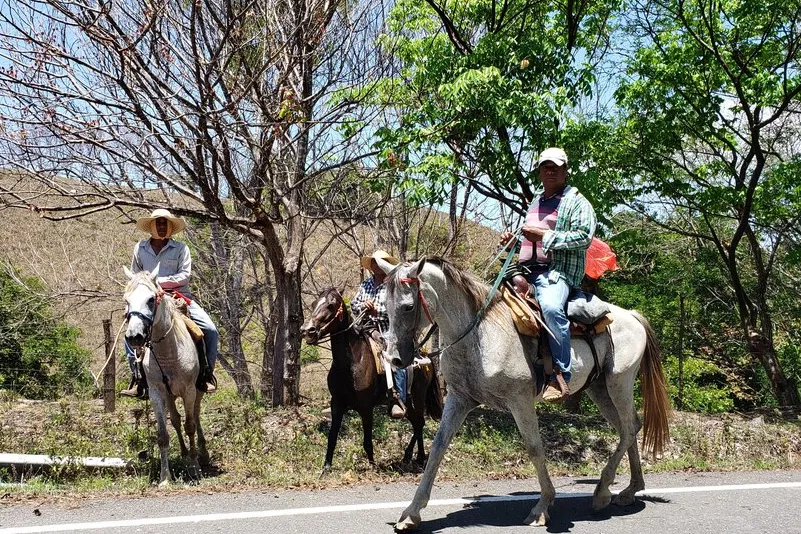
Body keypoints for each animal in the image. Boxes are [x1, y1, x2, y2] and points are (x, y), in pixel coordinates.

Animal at [123, 266, 209, 485]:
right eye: (126, 300)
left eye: (151, 299)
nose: (134, 336)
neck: (168, 351)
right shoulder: (156, 393)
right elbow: (163, 434)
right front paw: (164, 477)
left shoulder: (189, 391)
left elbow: (190, 426)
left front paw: (195, 469)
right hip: (170, 396)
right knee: (176, 421)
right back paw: (185, 454)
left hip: (198, 391)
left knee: (195, 416)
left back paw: (202, 454)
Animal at [300, 287, 444, 471]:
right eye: (313, 304)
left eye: (331, 305)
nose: (307, 331)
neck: (351, 363)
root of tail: (426, 357)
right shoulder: (337, 403)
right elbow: (332, 437)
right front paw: (326, 468)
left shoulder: (366, 407)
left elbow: (367, 441)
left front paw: (372, 466)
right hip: (410, 403)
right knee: (417, 424)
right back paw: (409, 456)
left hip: (417, 400)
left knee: (420, 423)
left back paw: (419, 457)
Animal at [377, 257, 671, 531]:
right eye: (386, 308)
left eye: (408, 306)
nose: (395, 359)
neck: (479, 336)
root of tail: (632, 315)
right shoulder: (460, 400)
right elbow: (438, 448)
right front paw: (411, 513)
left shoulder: (520, 401)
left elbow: (534, 448)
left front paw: (542, 507)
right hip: (599, 390)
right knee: (628, 428)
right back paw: (629, 490)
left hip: (619, 384)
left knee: (629, 428)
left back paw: (602, 492)